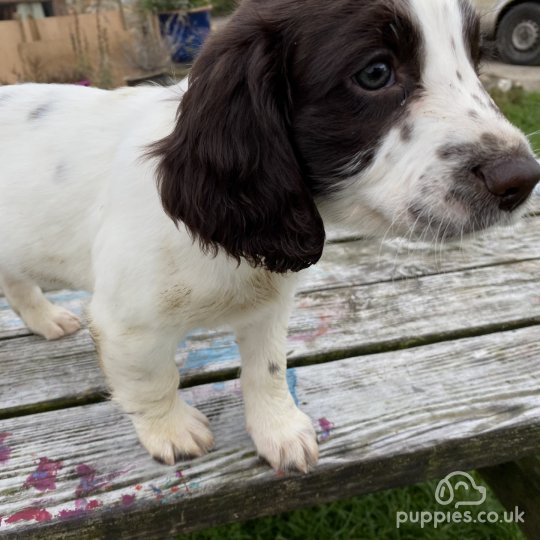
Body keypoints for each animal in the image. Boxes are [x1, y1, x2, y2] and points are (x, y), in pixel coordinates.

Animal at [1, 0, 540, 472]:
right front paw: (171, 431)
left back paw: (46, 319)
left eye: (475, 63)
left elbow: (268, 369)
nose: (523, 179)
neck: (226, 250)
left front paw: (278, 430)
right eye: (374, 73)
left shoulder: (270, 307)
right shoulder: (127, 323)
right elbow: (152, 379)